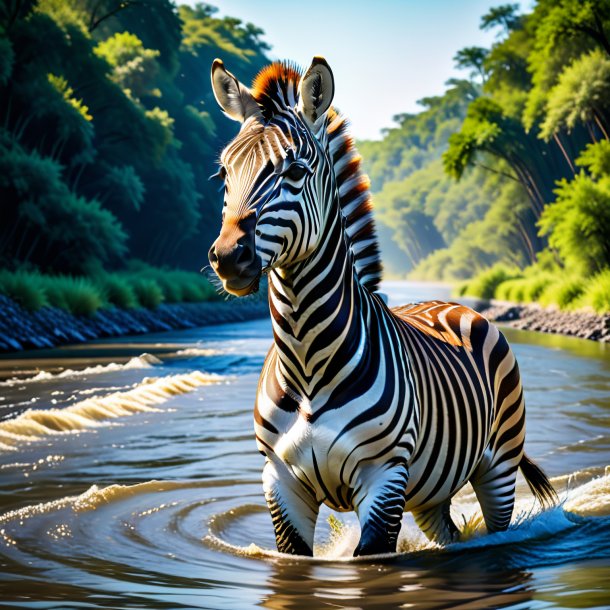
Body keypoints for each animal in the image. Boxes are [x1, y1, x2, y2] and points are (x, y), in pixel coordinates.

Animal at [207, 57, 552, 556]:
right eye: (223, 175)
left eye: (295, 171)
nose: (229, 256)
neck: (306, 360)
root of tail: (455, 304)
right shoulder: (280, 482)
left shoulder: (383, 479)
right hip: (431, 488)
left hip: (499, 466)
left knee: (496, 523)